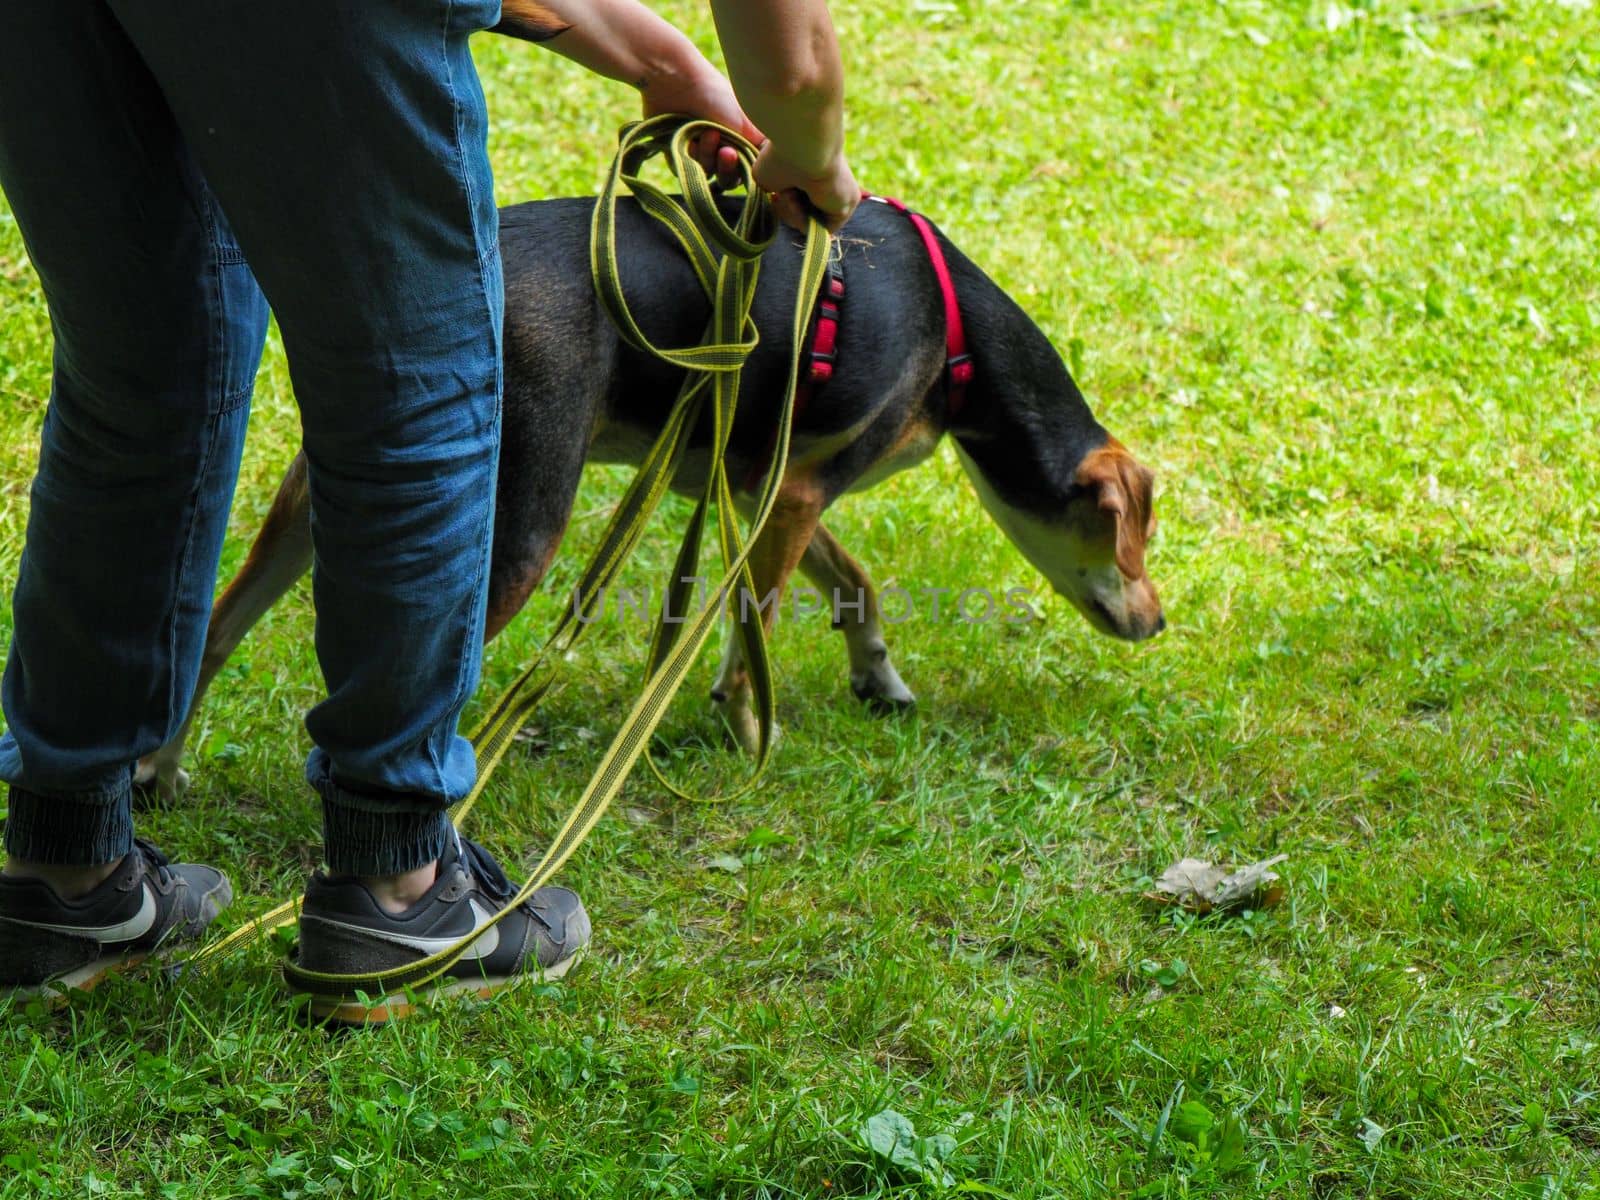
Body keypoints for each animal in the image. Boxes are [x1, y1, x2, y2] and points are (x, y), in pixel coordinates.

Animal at [137, 192, 1164, 803]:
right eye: (1133, 539)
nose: (1158, 623)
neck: (954, 339)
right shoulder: (794, 493)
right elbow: (756, 631)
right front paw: (748, 729)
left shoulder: (769, 491)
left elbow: (855, 584)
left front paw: (877, 675)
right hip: (522, 524)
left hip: (310, 498)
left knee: (214, 631)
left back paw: (157, 771)